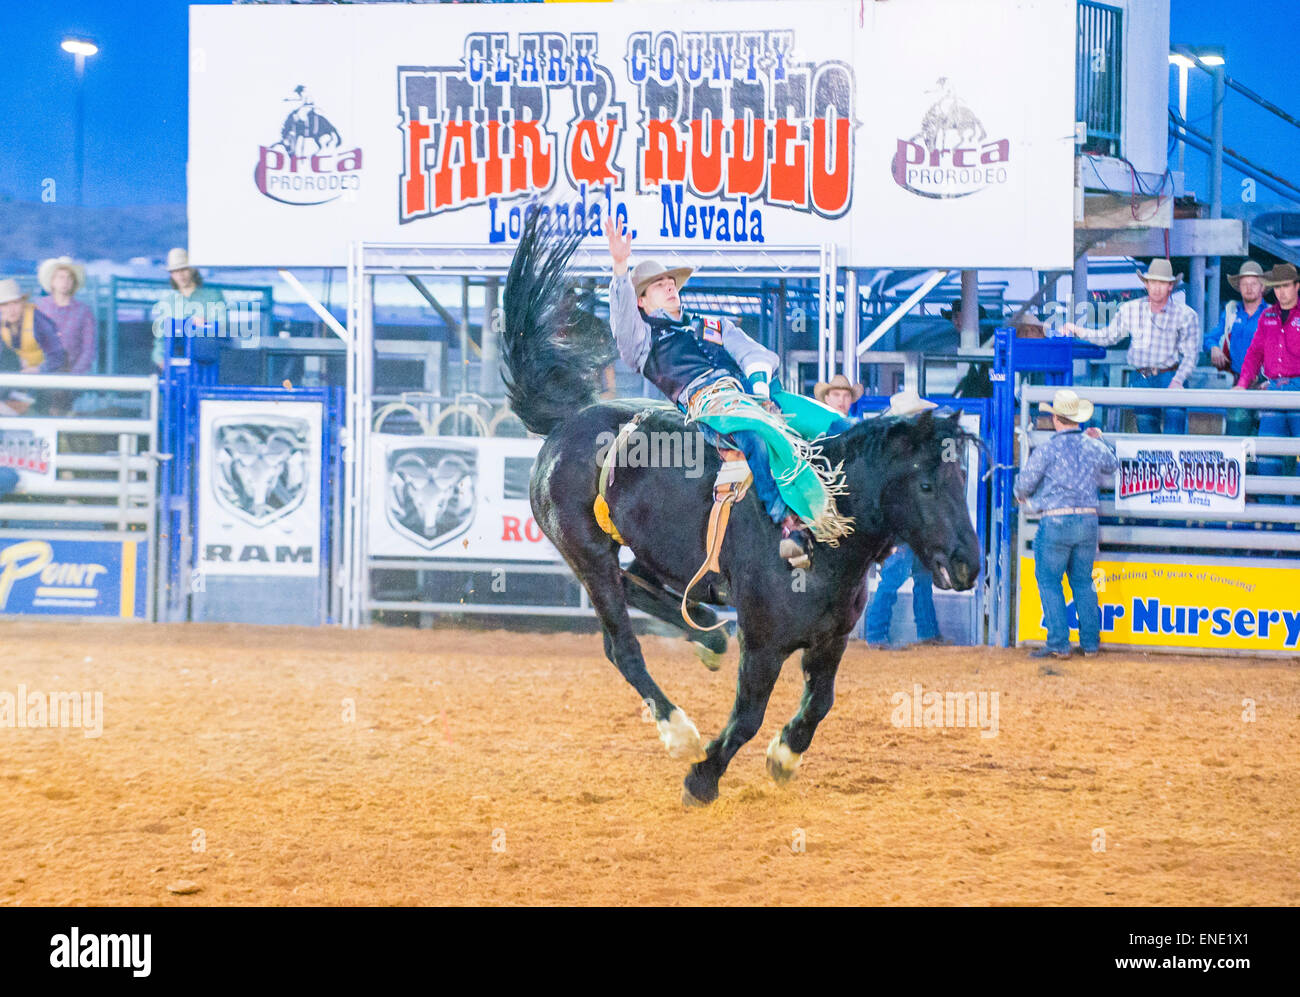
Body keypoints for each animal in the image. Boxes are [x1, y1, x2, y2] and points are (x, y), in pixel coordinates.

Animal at [500, 215, 983, 805]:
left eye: (963, 478)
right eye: (929, 485)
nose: (967, 564)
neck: (830, 548)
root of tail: (569, 422)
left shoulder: (831, 640)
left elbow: (820, 704)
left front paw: (784, 755)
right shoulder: (765, 640)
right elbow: (749, 714)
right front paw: (703, 776)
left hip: (650, 553)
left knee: (639, 584)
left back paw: (709, 633)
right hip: (586, 552)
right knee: (622, 646)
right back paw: (680, 733)